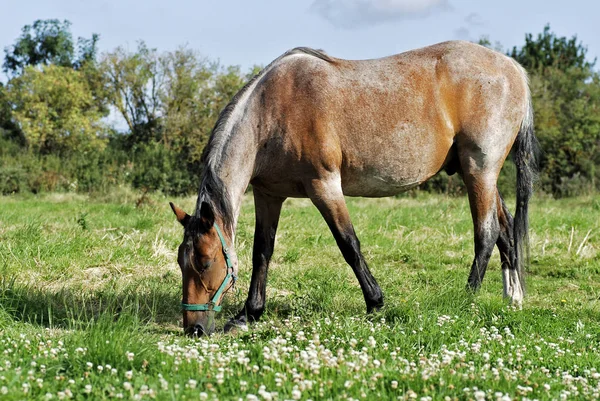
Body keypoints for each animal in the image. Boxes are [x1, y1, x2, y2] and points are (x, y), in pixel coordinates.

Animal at [169, 40, 540, 334]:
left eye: (204, 262)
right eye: (181, 262)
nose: (194, 328)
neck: (273, 111)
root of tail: (515, 70)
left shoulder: (324, 186)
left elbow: (349, 245)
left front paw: (375, 303)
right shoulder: (269, 194)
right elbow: (262, 251)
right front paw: (248, 314)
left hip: (480, 170)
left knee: (486, 232)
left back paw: (467, 298)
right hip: (476, 172)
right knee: (506, 228)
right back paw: (512, 298)